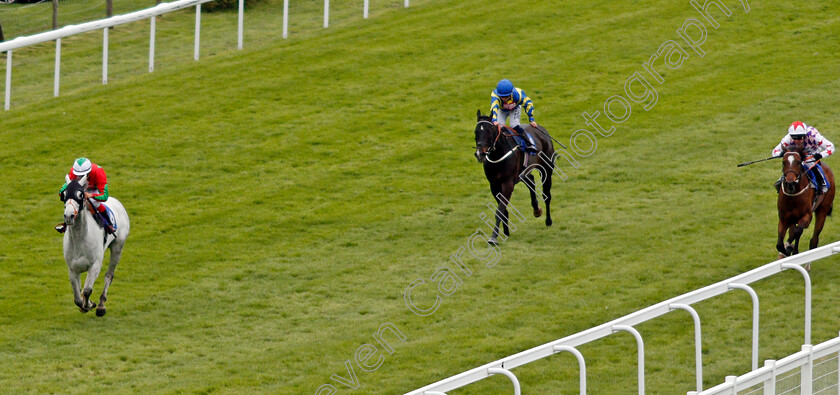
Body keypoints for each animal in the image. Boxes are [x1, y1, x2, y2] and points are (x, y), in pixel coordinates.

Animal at [476, 110, 556, 244]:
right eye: (476, 131)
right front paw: (505, 232)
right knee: (531, 181)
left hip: (546, 169)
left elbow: (500, 210)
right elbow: (503, 210)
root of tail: (541, 129)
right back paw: (536, 210)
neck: (499, 155)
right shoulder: (494, 185)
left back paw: (548, 220)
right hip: (524, 172)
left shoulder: (508, 184)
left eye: (490, 131)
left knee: (546, 195)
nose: (480, 154)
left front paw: (493, 237)